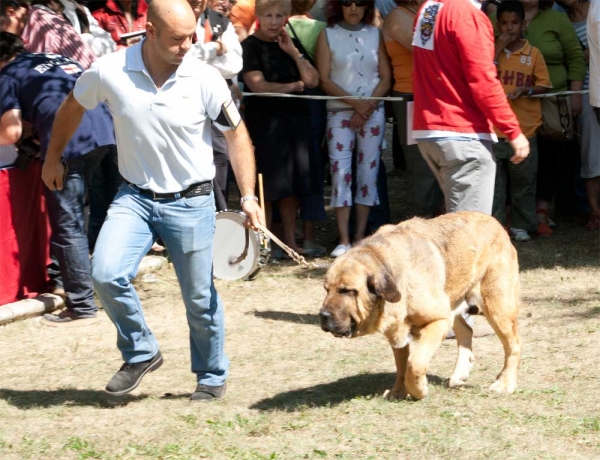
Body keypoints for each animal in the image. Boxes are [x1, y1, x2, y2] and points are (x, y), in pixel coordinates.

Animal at [318, 212, 520, 398]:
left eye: (347, 291)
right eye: (326, 289)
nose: (323, 316)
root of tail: (496, 223)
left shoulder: (438, 321)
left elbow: (415, 363)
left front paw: (419, 390)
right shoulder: (397, 331)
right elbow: (401, 365)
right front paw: (398, 391)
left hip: (496, 306)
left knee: (513, 344)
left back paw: (505, 383)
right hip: (452, 302)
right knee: (466, 331)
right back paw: (459, 374)